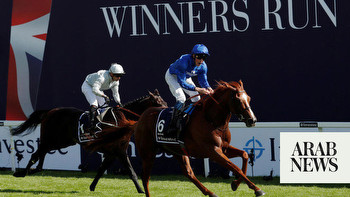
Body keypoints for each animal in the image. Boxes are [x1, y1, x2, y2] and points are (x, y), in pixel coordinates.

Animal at [11, 89, 167, 192]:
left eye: (164, 101)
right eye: (158, 102)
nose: (166, 111)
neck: (121, 120)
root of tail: (50, 111)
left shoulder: (113, 152)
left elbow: (102, 169)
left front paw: (92, 187)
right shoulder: (119, 151)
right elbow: (131, 171)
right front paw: (141, 190)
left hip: (61, 141)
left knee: (41, 154)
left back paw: (33, 169)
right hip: (52, 139)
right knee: (35, 154)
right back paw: (21, 173)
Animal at [133, 81, 264, 196]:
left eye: (249, 98)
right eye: (238, 100)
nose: (252, 120)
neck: (211, 120)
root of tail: (143, 115)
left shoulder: (224, 148)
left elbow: (245, 155)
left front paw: (236, 184)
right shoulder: (213, 151)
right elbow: (235, 167)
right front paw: (257, 189)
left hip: (177, 151)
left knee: (188, 173)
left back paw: (210, 193)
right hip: (148, 153)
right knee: (145, 178)